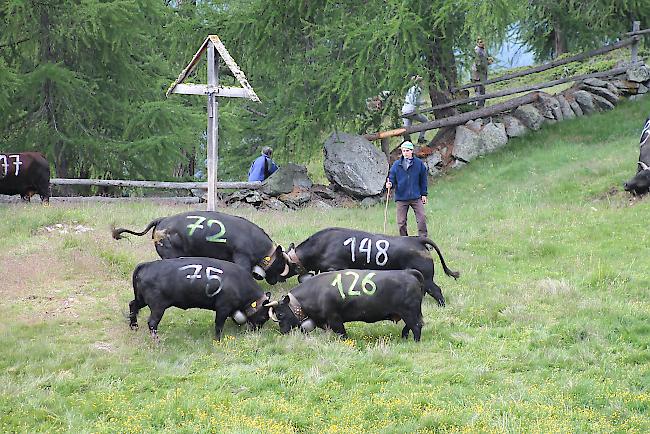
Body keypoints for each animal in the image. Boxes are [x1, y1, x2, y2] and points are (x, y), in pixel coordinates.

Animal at [129, 258, 270, 340]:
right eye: (264, 317)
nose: (257, 330)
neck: (239, 283)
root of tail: (146, 265)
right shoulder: (223, 308)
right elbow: (219, 325)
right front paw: (217, 340)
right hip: (158, 307)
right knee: (152, 322)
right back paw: (156, 341)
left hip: (142, 300)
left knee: (132, 305)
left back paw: (134, 326)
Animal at [264, 268, 426, 342]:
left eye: (280, 314)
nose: (283, 332)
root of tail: (408, 273)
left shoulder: (335, 318)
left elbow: (342, 333)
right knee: (411, 326)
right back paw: (404, 337)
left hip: (410, 312)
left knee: (416, 326)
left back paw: (415, 342)